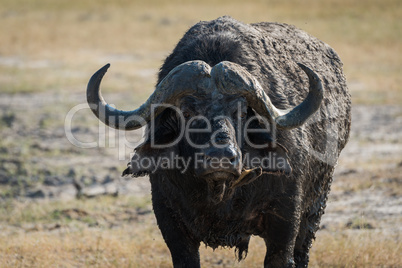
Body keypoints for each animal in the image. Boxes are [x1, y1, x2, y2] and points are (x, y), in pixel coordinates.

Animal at [86, 16, 350, 268]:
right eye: (186, 112)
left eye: (242, 112)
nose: (221, 158)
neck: (220, 192)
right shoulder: (169, 220)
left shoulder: (285, 221)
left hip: (315, 208)